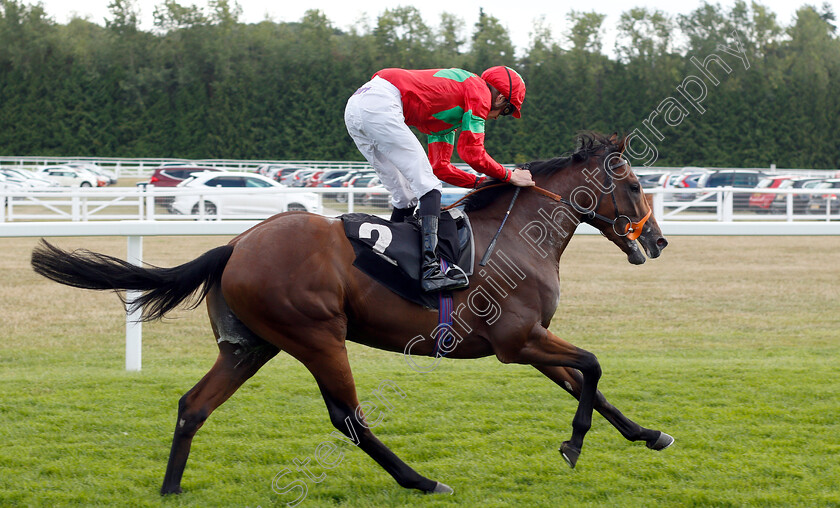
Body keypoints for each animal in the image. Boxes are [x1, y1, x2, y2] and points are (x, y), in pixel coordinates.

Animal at [32, 131, 672, 496]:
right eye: (634, 185)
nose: (659, 241)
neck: (516, 236)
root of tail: (235, 245)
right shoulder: (517, 341)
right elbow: (592, 365)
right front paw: (574, 445)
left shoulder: (529, 339)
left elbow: (587, 382)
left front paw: (649, 433)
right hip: (317, 336)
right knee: (348, 418)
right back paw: (421, 480)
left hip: (250, 346)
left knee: (194, 406)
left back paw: (169, 489)